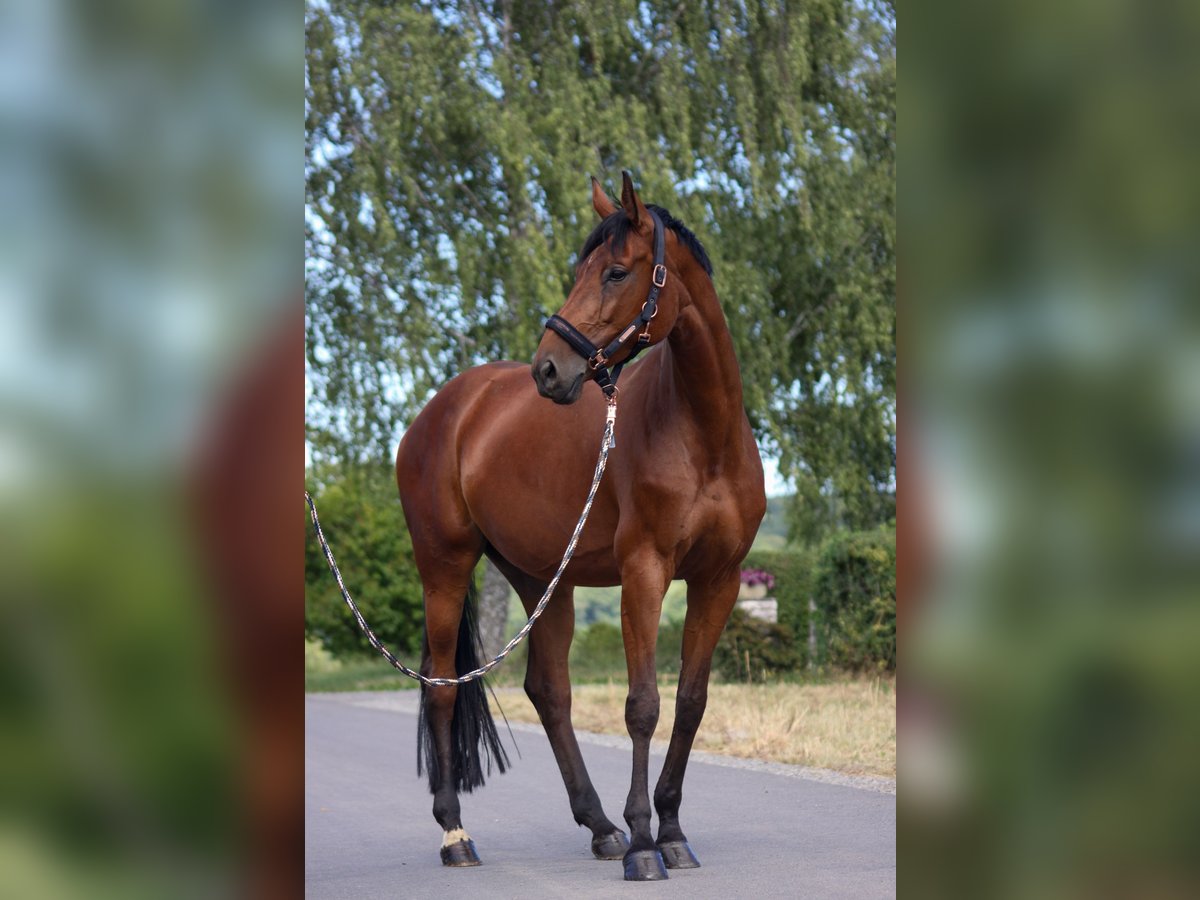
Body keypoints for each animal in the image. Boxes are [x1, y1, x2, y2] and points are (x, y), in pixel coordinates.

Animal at [394, 172, 766, 881]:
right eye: (580, 271)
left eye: (617, 272)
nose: (548, 370)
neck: (703, 436)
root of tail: (444, 410)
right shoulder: (644, 571)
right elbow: (642, 705)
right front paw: (646, 844)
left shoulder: (719, 580)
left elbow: (690, 702)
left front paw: (671, 831)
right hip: (444, 568)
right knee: (443, 690)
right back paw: (457, 835)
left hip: (541, 577)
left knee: (549, 691)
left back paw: (599, 827)